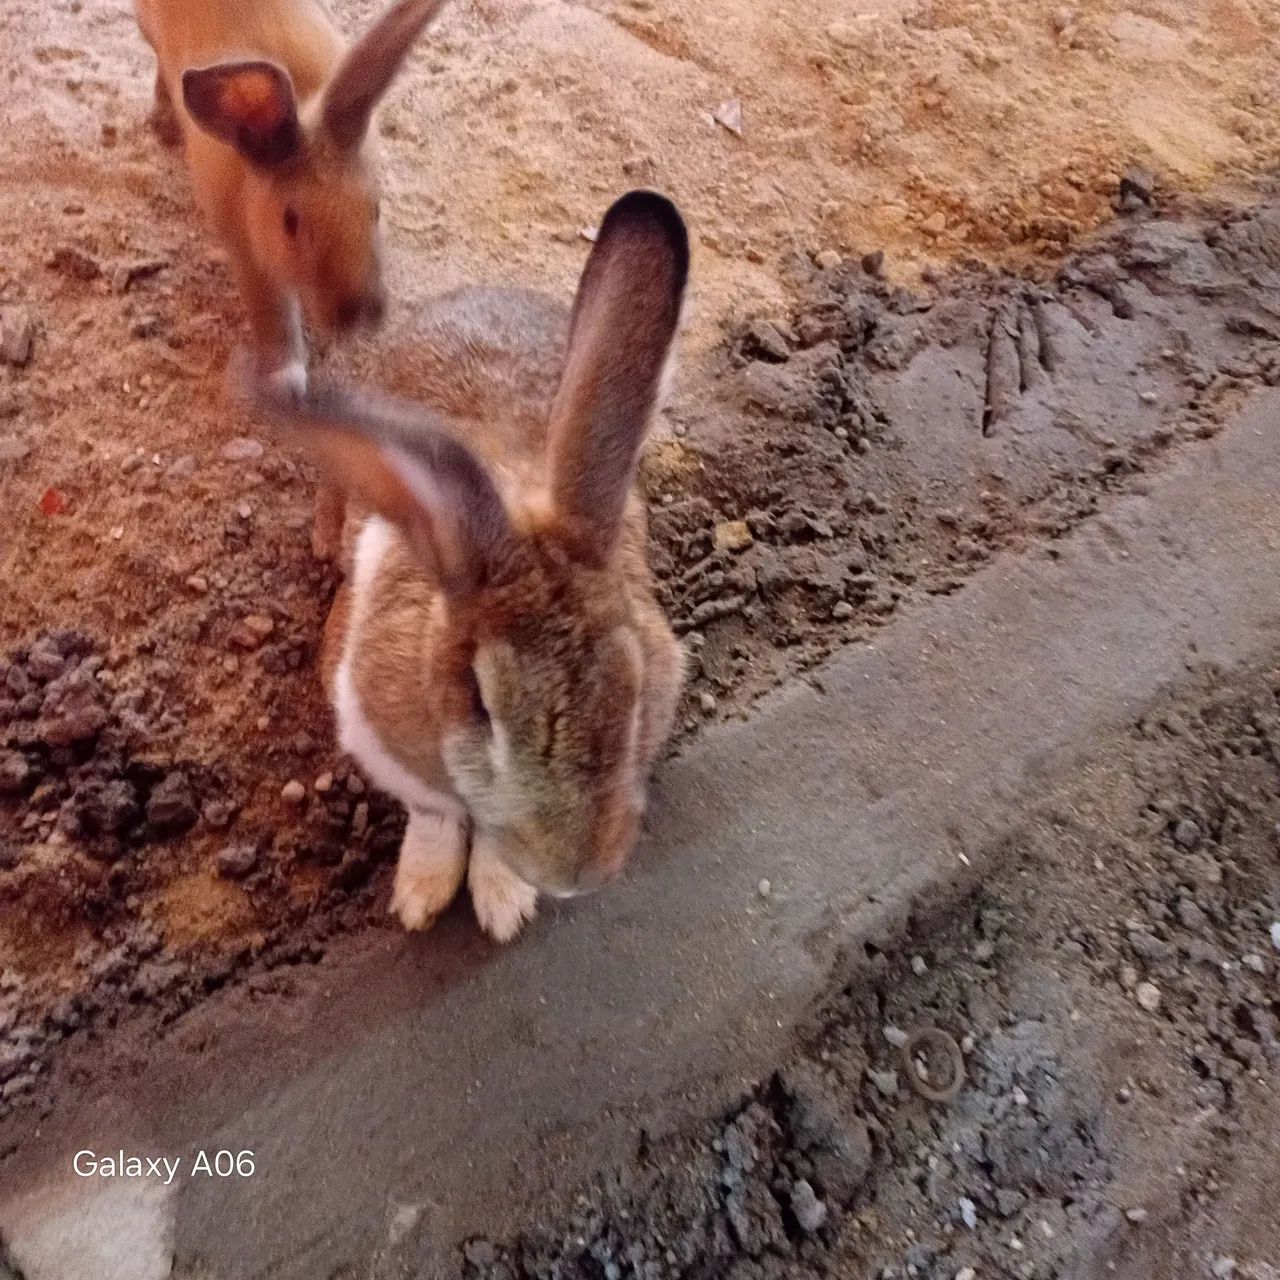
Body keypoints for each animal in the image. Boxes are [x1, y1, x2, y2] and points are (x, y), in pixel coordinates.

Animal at [134, 0, 448, 398]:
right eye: (290, 221)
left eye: (375, 210)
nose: (360, 313)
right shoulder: (251, 262)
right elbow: (275, 319)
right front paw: (286, 383)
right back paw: (164, 123)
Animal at [254, 191, 689, 942]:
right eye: (480, 704)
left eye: (635, 689)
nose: (576, 873)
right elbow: (435, 815)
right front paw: (422, 897)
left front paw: (502, 902)